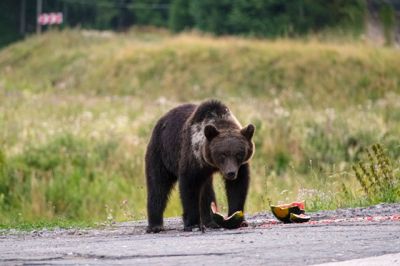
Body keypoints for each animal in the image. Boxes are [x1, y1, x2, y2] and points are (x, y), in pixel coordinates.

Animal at [145, 100, 255, 233]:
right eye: (222, 154)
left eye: (239, 154)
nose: (231, 173)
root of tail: (161, 120)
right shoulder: (193, 157)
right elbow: (189, 186)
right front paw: (193, 224)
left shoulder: (240, 166)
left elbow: (238, 187)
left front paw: (238, 219)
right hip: (161, 153)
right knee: (158, 185)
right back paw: (155, 226)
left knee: (206, 191)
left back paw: (211, 222)